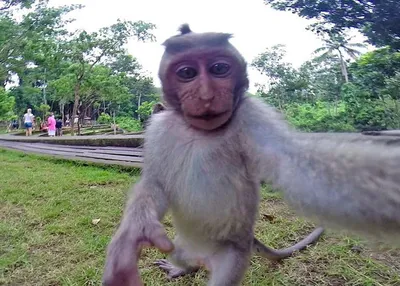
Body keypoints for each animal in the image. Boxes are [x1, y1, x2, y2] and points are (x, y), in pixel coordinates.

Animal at [102, 24, 400, 286]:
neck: (200, 132)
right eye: (187, 72)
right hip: (183, 244)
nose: (206, 95)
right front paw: (133, 235)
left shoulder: (252, 116)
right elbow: (155, 182)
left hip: (233, 254)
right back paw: (183, 267)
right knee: (180, 254)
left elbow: (296, 166)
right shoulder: (159, 128)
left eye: (219, 69)